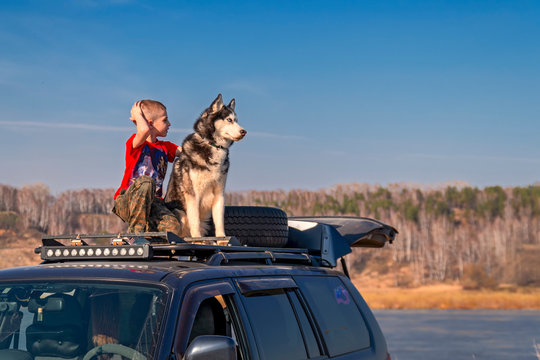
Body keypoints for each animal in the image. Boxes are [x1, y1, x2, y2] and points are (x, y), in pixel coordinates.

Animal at [165, 94, 247, 238]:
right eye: (229, 120)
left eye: (236, 120)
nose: (244, 131)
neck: (214, 146)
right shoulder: (193, 195)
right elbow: (195, 223)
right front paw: (198, 240)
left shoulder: (219, 195)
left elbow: (219, 223)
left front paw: (222, 239)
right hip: (180, 212)